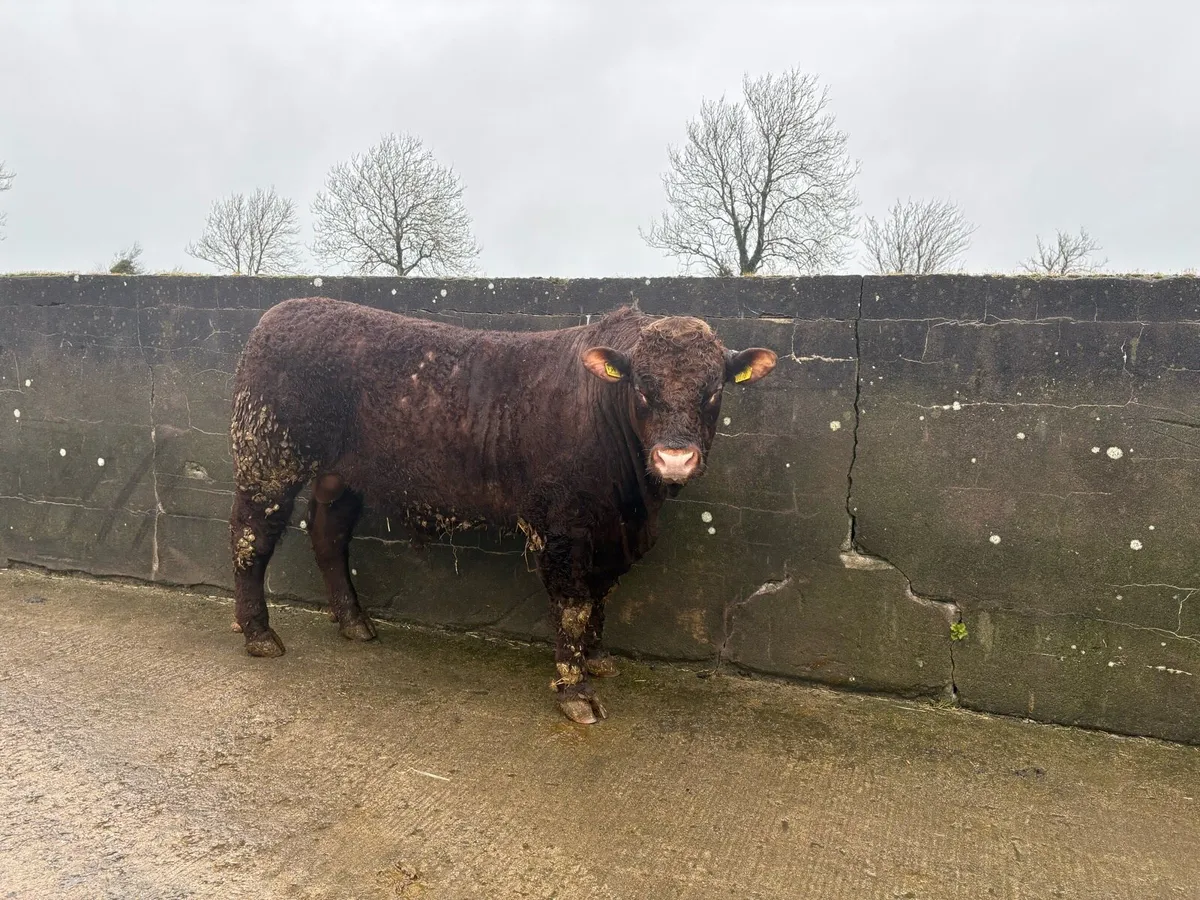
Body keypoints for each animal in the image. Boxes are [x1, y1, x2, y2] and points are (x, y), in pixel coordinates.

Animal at [228, 297, 776, 724]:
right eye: (642, 388)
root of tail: (276, 314)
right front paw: (575, 692)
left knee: (329, 537)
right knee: (250, 539)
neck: (634, 504)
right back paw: (259, 633)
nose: (675, 458)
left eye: (714, 391)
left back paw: (353, 622)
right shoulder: (560, 525)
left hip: (339, 475)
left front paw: (597, 659)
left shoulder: (609, 532)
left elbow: (600, 595)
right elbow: (573, 606)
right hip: (267, 459)